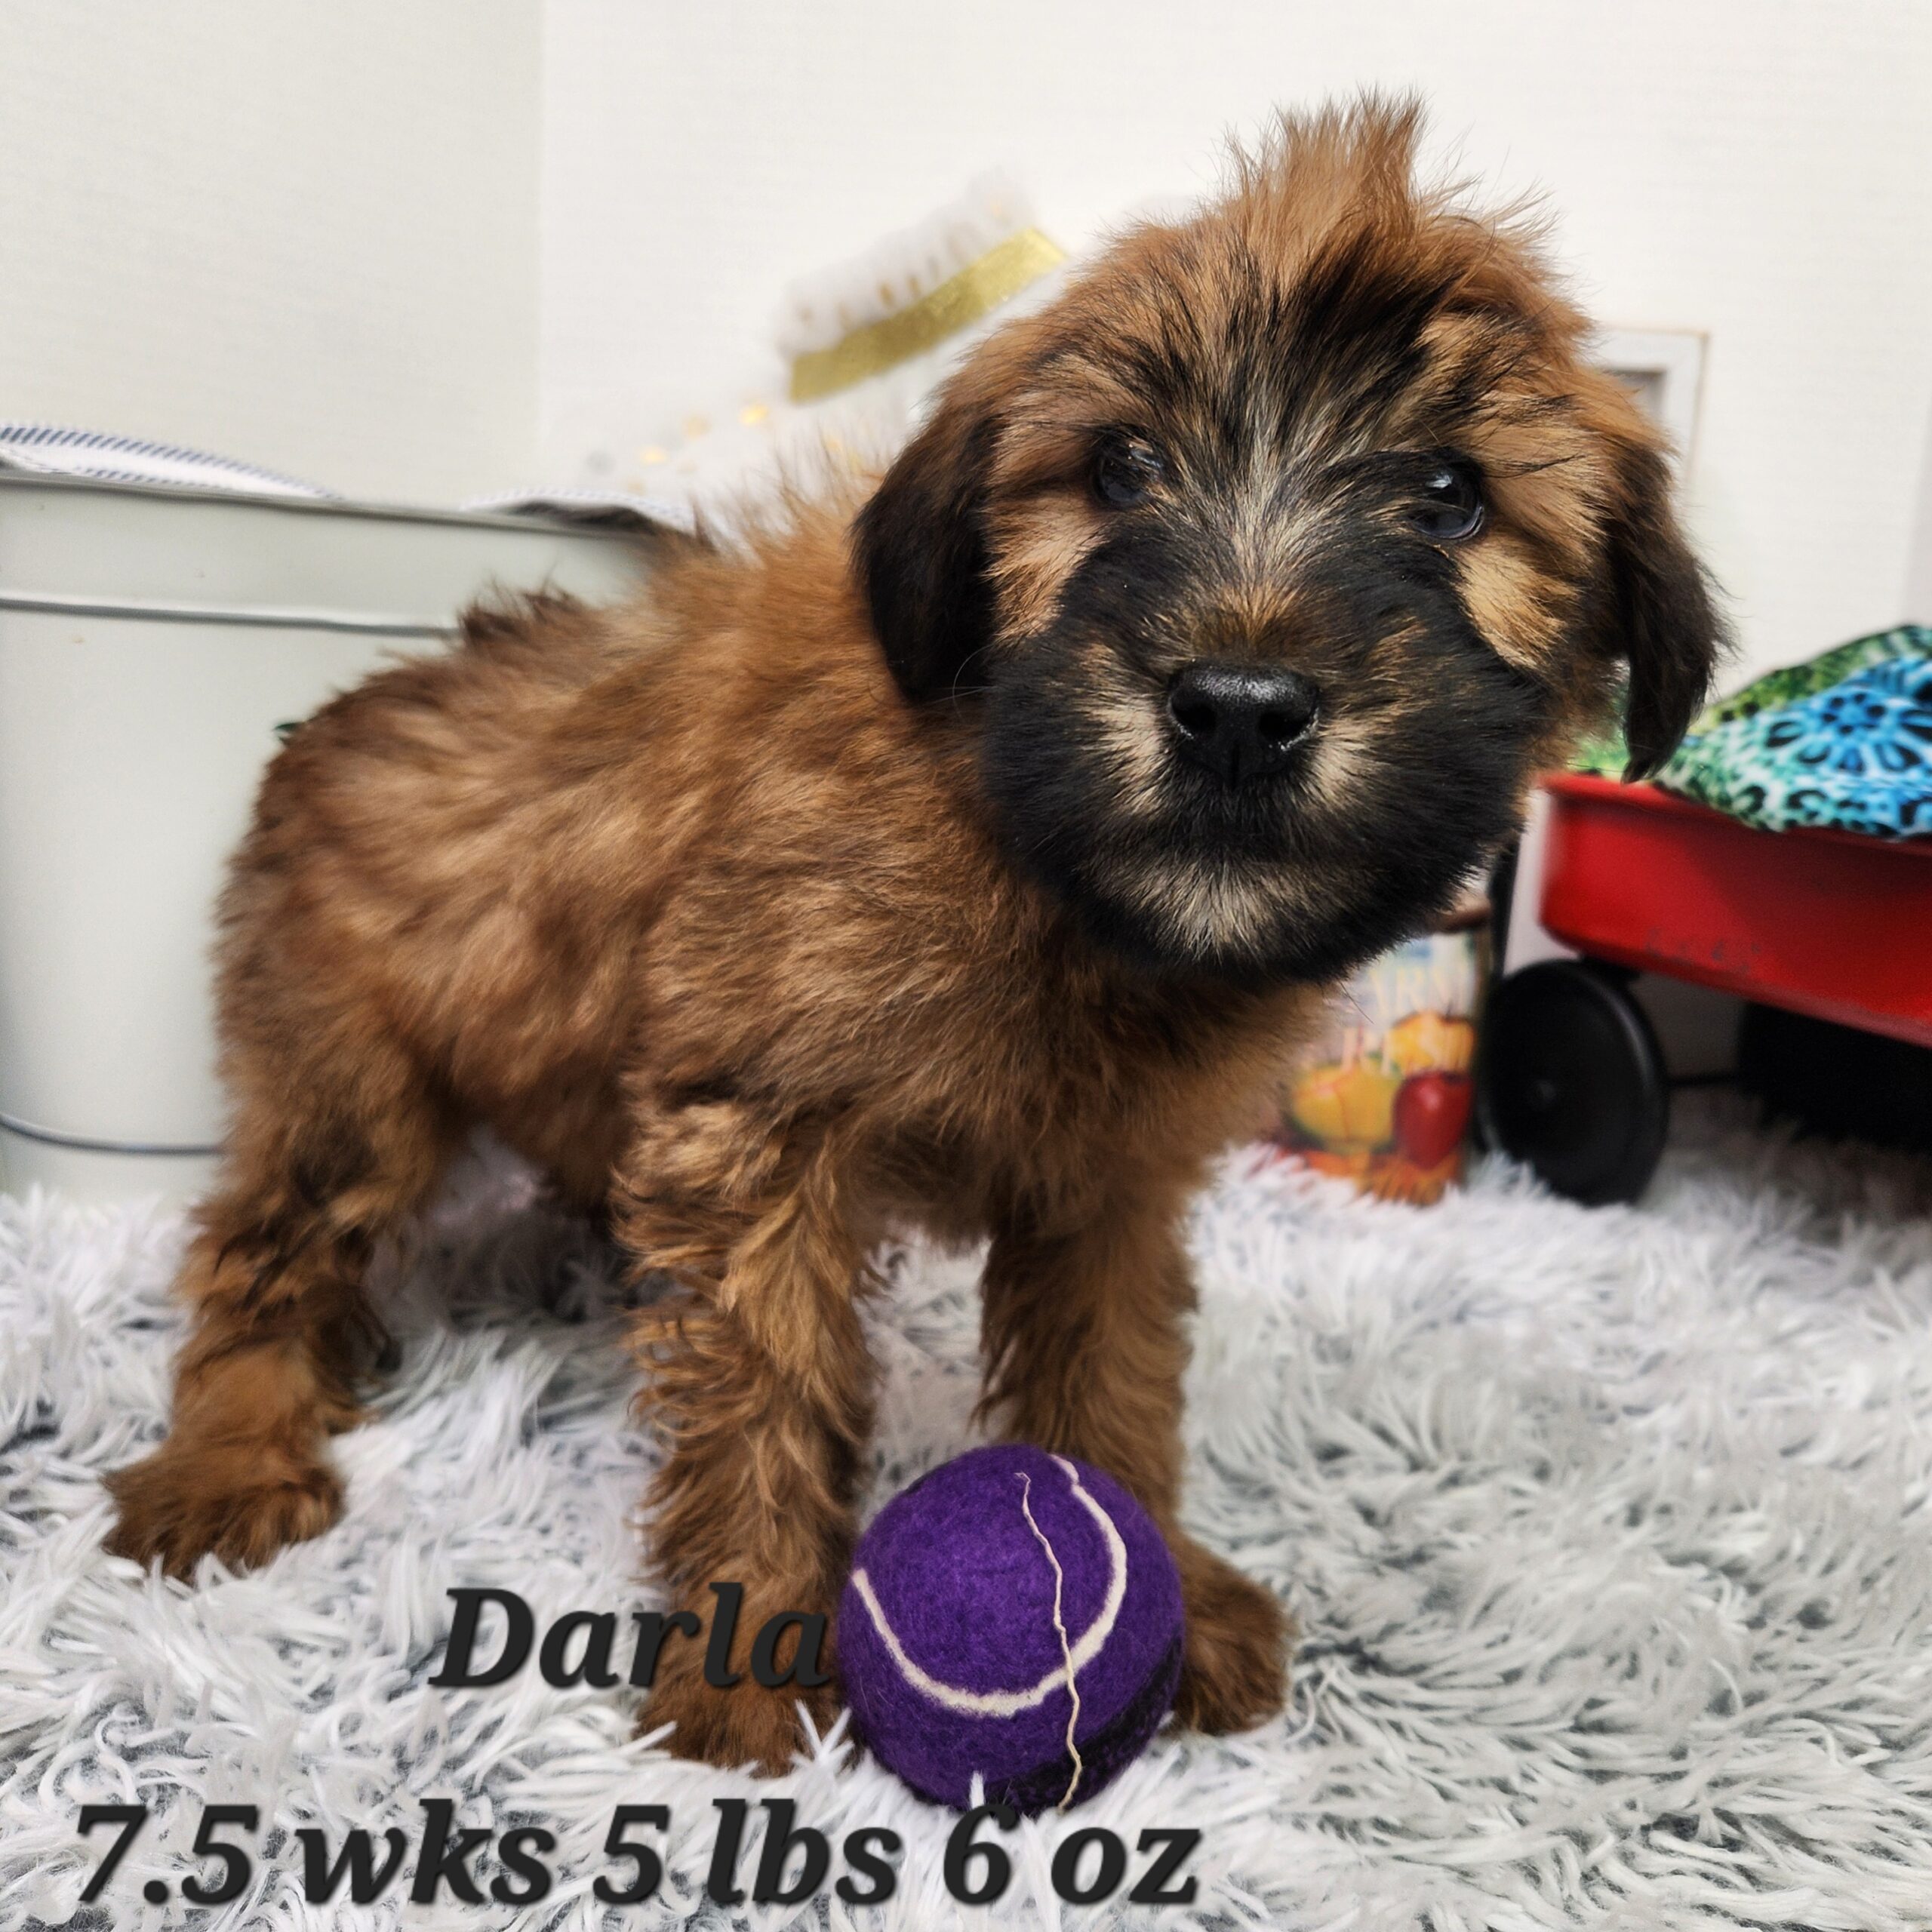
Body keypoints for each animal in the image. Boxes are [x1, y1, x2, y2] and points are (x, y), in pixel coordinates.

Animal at [106, 102, 1723, 1769]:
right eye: (1120, 467)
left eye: (1452, 496)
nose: (1235, 711)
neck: (1021, 841)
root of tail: (331, 718)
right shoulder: (756, 1135)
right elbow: (762, 1396)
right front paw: (748, 1670)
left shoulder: (1109, 1183)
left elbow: (1110, 1378)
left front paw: (1154, 1583)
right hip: (344, 1081)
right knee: (261, 1253)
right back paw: (232, 1453)